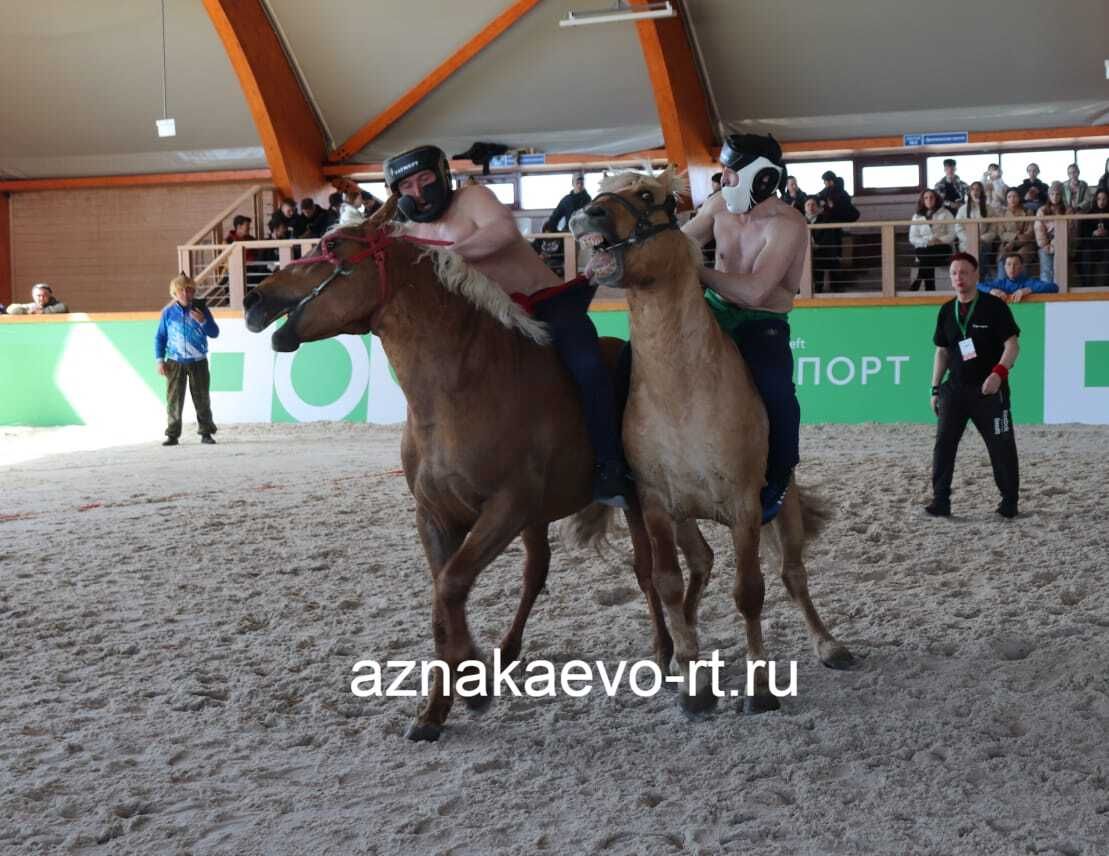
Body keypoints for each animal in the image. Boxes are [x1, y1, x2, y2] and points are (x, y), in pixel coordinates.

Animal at [243, 201, 669, 740]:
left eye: (333, 246)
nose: (254, 297)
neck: (458, 391)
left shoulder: (505, 508)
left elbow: (450, 587)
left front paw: (472, 682)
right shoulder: (437, 515)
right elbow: (444, 598)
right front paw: (441, 705)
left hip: (630, 502)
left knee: (647, 571)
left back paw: (665, 654)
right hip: (537, 519)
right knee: (536, 573)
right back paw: (506, 654)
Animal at [567, 168, 851, 714]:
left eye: (648, 195)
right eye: (602, 188)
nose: (587, 213)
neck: (682, 391)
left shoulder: (744, 506)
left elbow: (750, 591)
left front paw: (760, 687)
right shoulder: (657, 506)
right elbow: (667, 584)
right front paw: (693, 681)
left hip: (781, 507)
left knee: (793, 574)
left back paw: (829, 644)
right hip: (684, 518)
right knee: (699, 563)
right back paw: (684, 649)